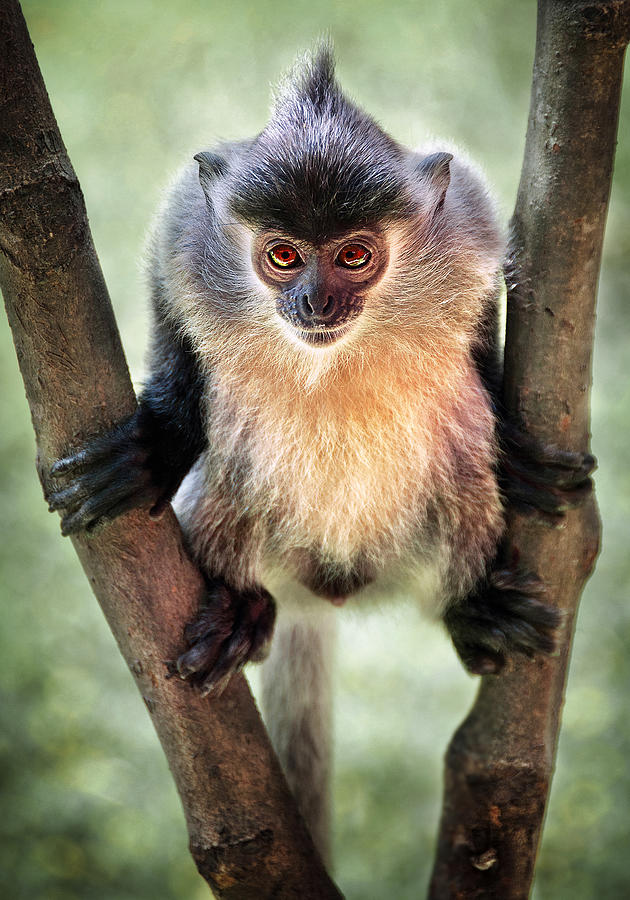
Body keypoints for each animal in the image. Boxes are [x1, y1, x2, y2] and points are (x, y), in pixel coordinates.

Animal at [48, 49, 592, 864]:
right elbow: (176, 337)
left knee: (458, 451)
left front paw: (518, 458)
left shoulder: (466, 228)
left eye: (355, 255)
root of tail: (325, 588)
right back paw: (241, 607)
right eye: (283, 255)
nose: (314, 302)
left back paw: (472, 611)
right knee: (235, 456)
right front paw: (152, 450)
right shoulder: (187, 241)